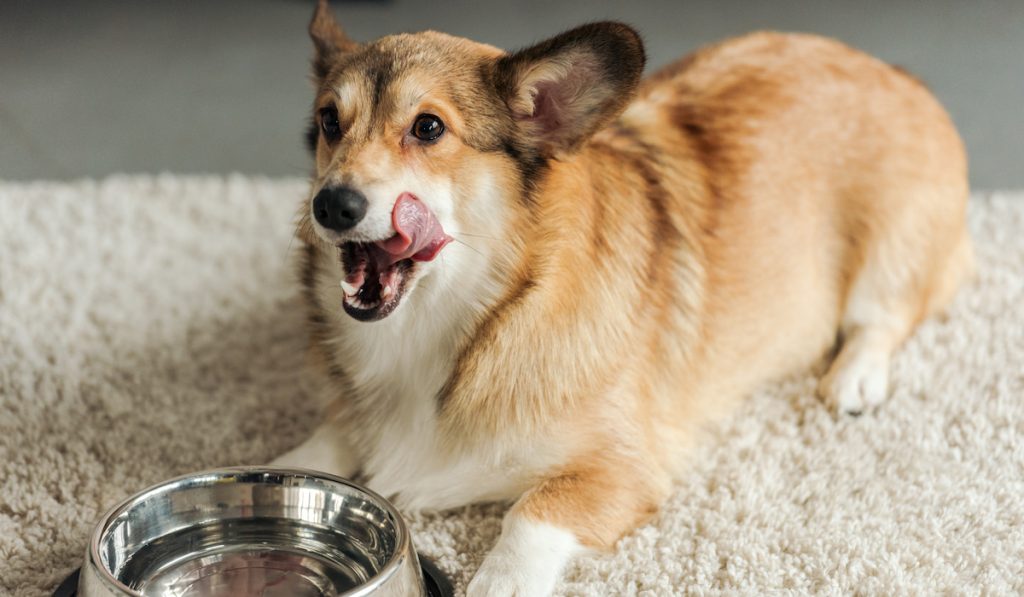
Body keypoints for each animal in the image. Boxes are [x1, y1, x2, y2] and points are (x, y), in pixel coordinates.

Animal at [274, 2, 974, 593]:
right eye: (329, 122)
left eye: (428, 128)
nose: (331, 205)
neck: (470, 317)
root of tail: (890, 69)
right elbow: (321, 449)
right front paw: (285, 462)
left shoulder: (619, 471)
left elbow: (528, 514)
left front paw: (501, 580)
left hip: (891, 249)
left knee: (884, 317)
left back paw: (855, 378)